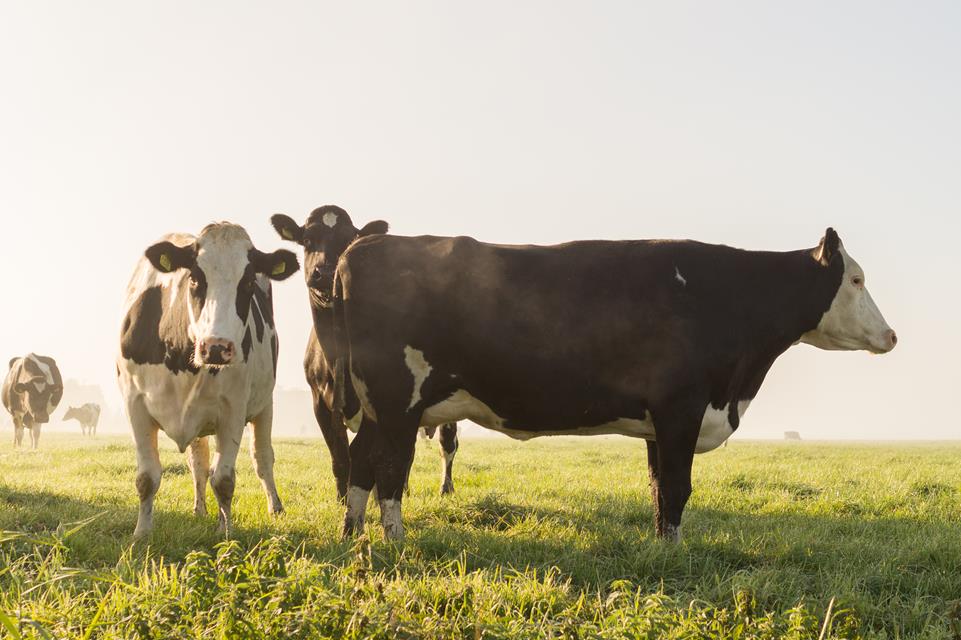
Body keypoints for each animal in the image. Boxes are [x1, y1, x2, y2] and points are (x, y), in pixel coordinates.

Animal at [117, 222, 299, 537]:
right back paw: (199, 509)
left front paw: (226, 534)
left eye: (247, 282)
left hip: (265, 405)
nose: (216, 346)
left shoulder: (233, 410)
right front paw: (141, 534)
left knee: (262, 457)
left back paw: (274, 507)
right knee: (199, 462)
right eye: (194, 278)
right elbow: (147, 477)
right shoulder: (134, 404)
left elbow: (224, 480)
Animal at [271, 205, 461, 500]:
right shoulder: (320, 402)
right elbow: (341, 457)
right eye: (307, 240)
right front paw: (343, 499)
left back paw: (445, 487)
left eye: (348, 240)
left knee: (447, 443)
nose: (326, 272)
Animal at [330, 228, 897, 541]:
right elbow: (677, 488)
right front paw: (674, 554)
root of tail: (362, 245)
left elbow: (659, 490)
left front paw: (663, 549)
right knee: (390, 470)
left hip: (380, 407)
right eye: (856, 279)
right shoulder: (681, 408)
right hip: (397, 401)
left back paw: (353, 535)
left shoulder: (658, 422)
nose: (891, 335)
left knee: (361, 461)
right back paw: (395, 540)